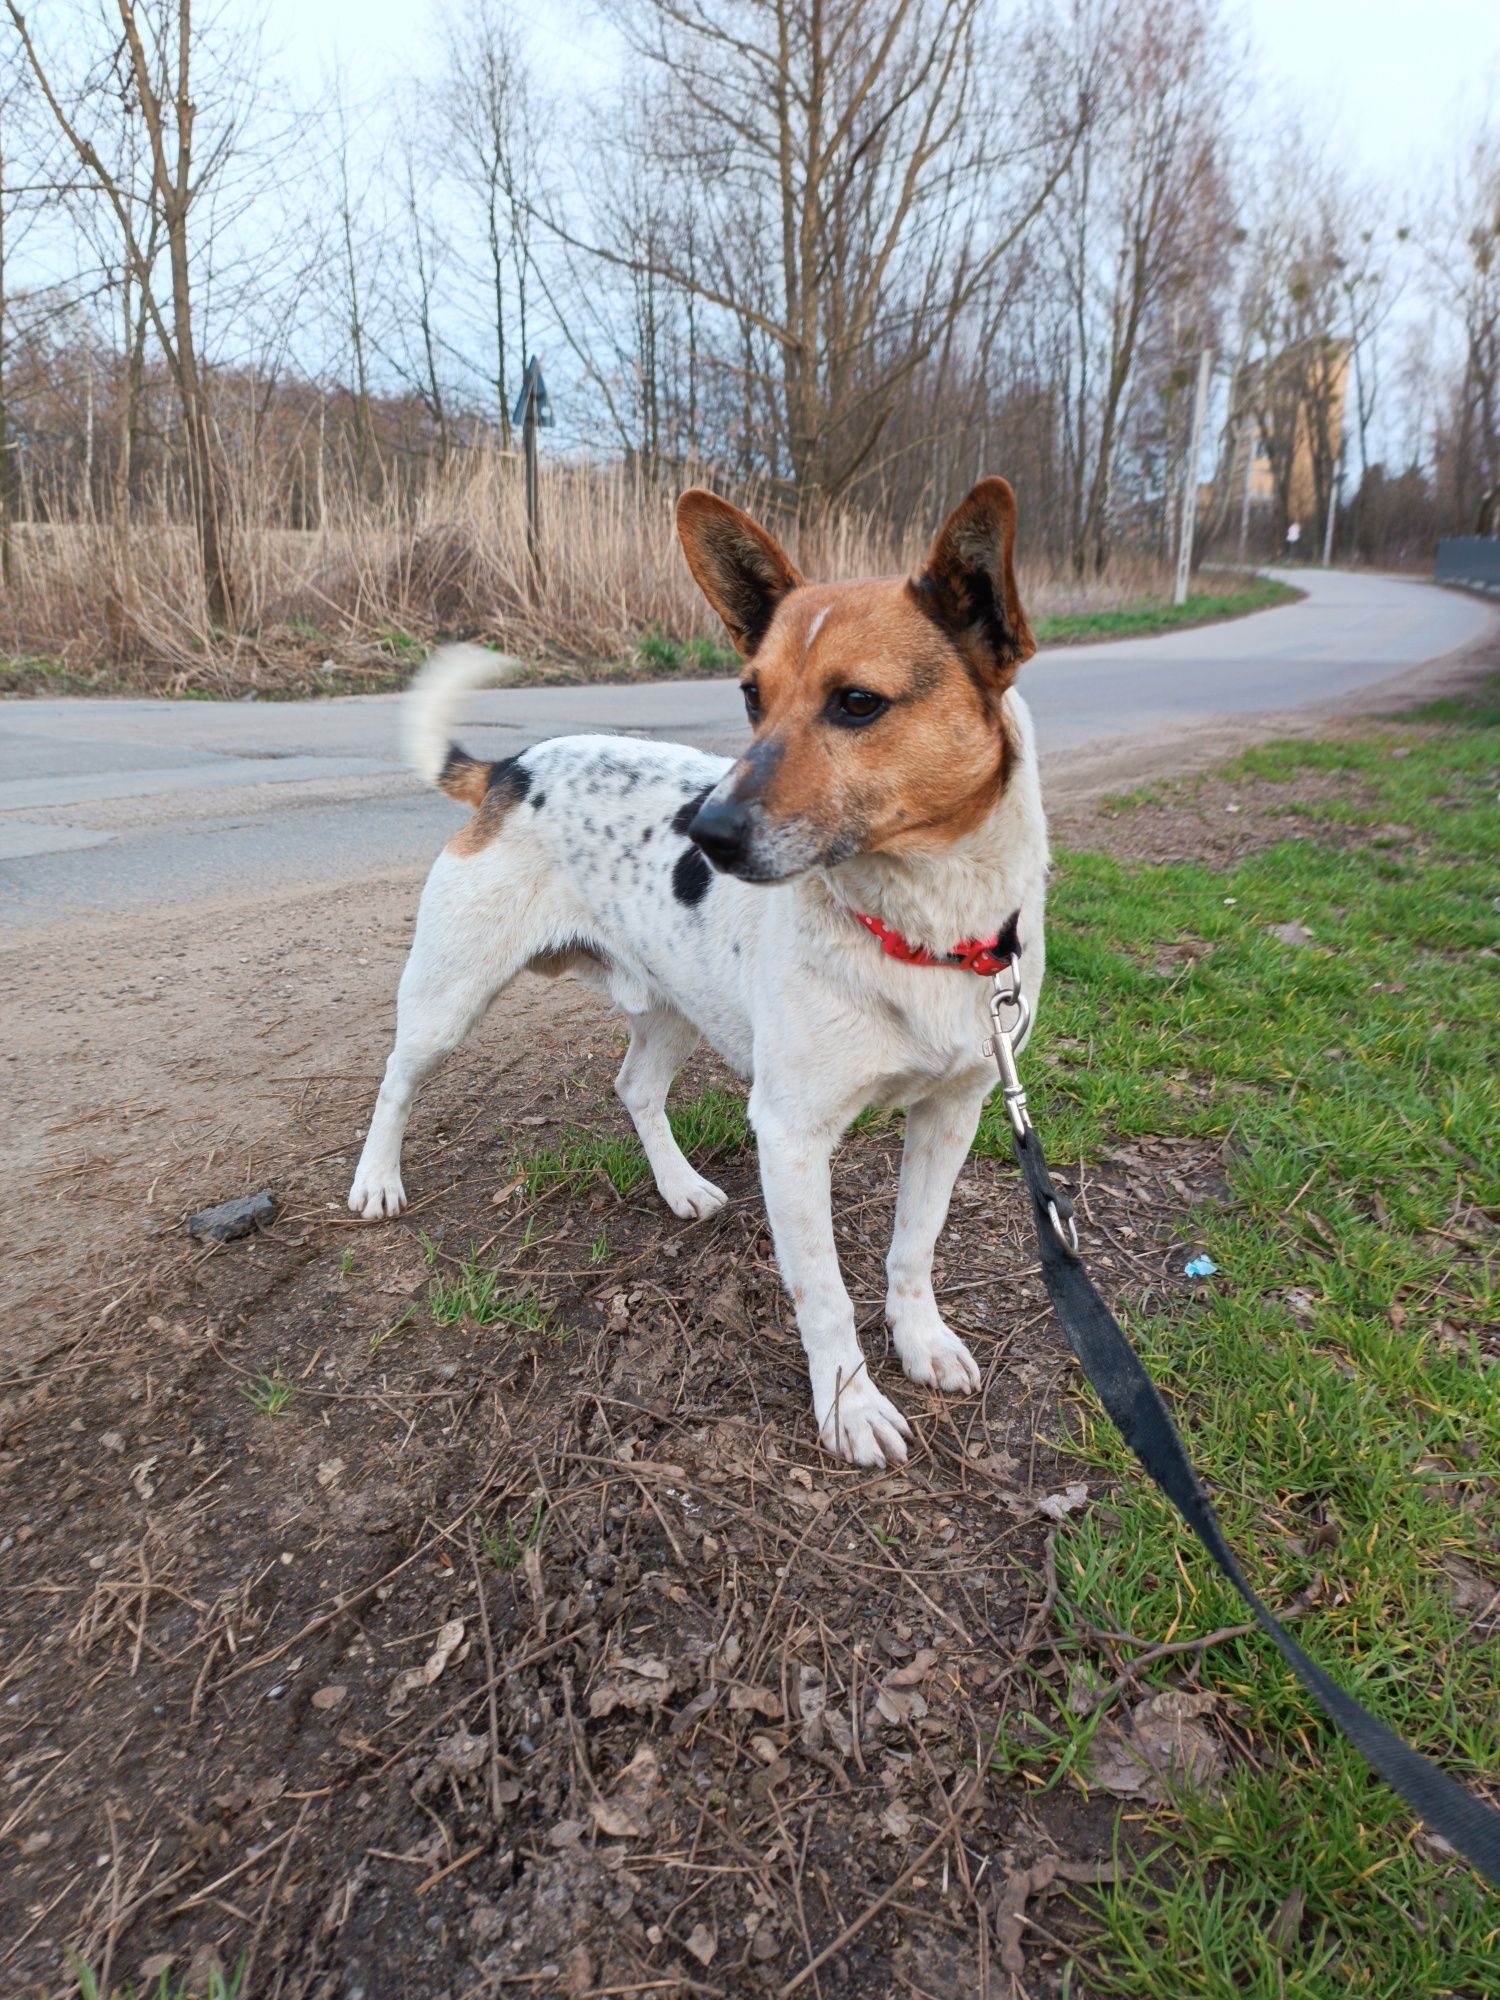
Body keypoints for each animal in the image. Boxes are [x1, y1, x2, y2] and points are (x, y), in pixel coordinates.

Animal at [354, 476, 1056, 1464]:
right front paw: (849, 1405)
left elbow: (914, 1248)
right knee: (396, 1079)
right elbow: (824, 1296)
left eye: (858, 704)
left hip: (673, 1005)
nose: (706, 833)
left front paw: (920, 1341)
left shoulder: (955, 1109)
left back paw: (679, 1185)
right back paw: (377, 1180)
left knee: (635, 1088)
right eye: (751, 696)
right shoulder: (793, 1137)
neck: (920, 923)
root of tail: (510, 767)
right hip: (449, 997)